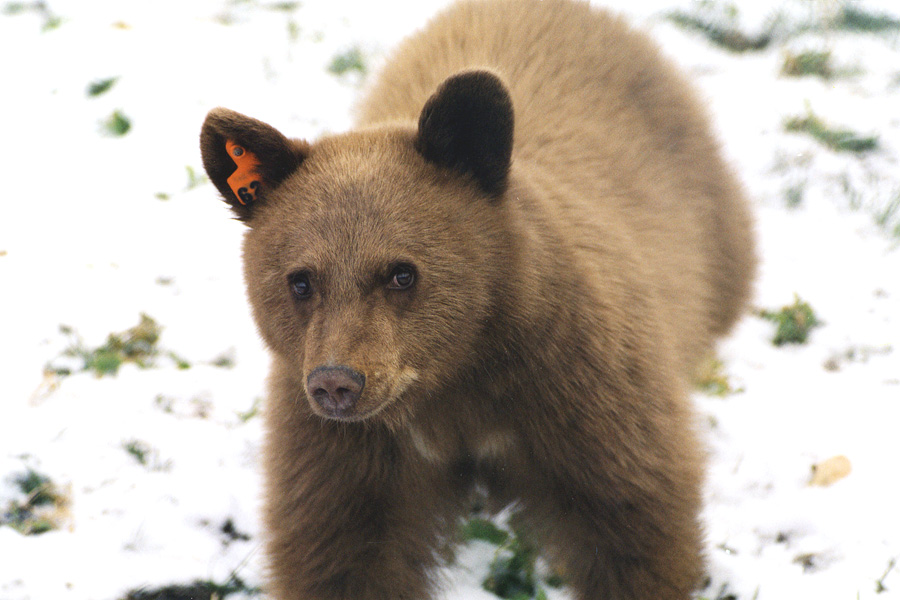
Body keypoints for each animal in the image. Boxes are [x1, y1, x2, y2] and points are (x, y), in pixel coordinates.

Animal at [200, 1, 756, 600]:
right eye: (300, 280)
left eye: (401, 273)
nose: (336, 382)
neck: (457, 381)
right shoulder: (349, 448)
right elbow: (342, 549)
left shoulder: (581, 394)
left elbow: (633, 518)